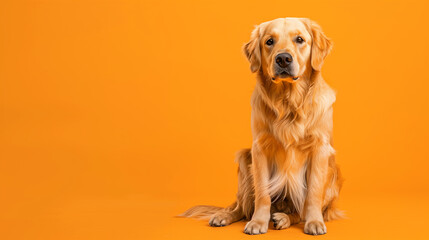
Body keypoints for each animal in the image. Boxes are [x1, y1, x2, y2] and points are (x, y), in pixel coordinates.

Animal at [179, 17, 342, 235]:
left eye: (300, 39)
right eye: (269, 41)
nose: (283, 59)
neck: (288, 102)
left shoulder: (319, 149)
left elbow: (313, 193)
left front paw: (314, 221)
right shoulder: (260, 149)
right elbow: (262, 193)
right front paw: (257, 222)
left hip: (332, 176)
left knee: (298, 213)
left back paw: (283, 218)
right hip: (244, 160)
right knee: (241, 207)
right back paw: (224, 216)